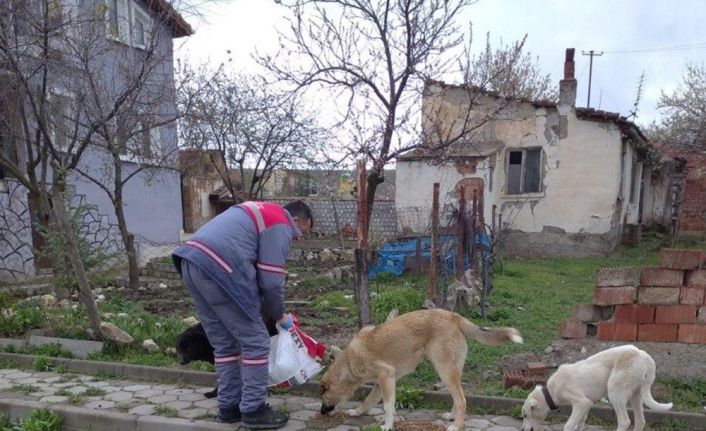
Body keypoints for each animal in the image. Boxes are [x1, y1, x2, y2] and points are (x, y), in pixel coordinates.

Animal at [318, 308, 516, 430]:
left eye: (323, 397)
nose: (321, 412)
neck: (349, 362)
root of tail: (453, 315)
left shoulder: (386, 376)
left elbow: (387, 406)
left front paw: (387, 425)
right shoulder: (382, 384)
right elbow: (369, 401)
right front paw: (358, 412)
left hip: (444, 371)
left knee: (462, 400)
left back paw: (457, 426)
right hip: (449, 373)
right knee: (458, 397)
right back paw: (451, 417)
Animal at [516, 344, 672, 431]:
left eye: (525, 415)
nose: (522, 430)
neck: (551, 391)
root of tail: (645, 356)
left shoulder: (581, 402)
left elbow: (569, 425)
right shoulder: (587, 404)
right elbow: (580, 423)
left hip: (615, 391)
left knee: (624, 421)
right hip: (636, 395)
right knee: (640, 422)